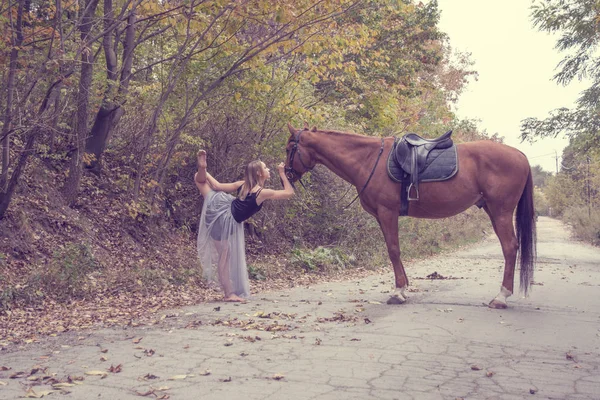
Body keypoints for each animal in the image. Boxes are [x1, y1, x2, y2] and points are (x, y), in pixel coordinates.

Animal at [284, 123, 536, 308]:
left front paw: (397, 293)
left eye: (289, 149)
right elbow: (394, 249)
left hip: (501, 211)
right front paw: (404, 288)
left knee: (509, 247)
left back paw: (501, 297)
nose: (286, 174)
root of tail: (521, 155)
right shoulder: (382, 216)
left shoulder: (387, 212)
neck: (368, 159)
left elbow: (393, 250)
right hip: (492, 210)